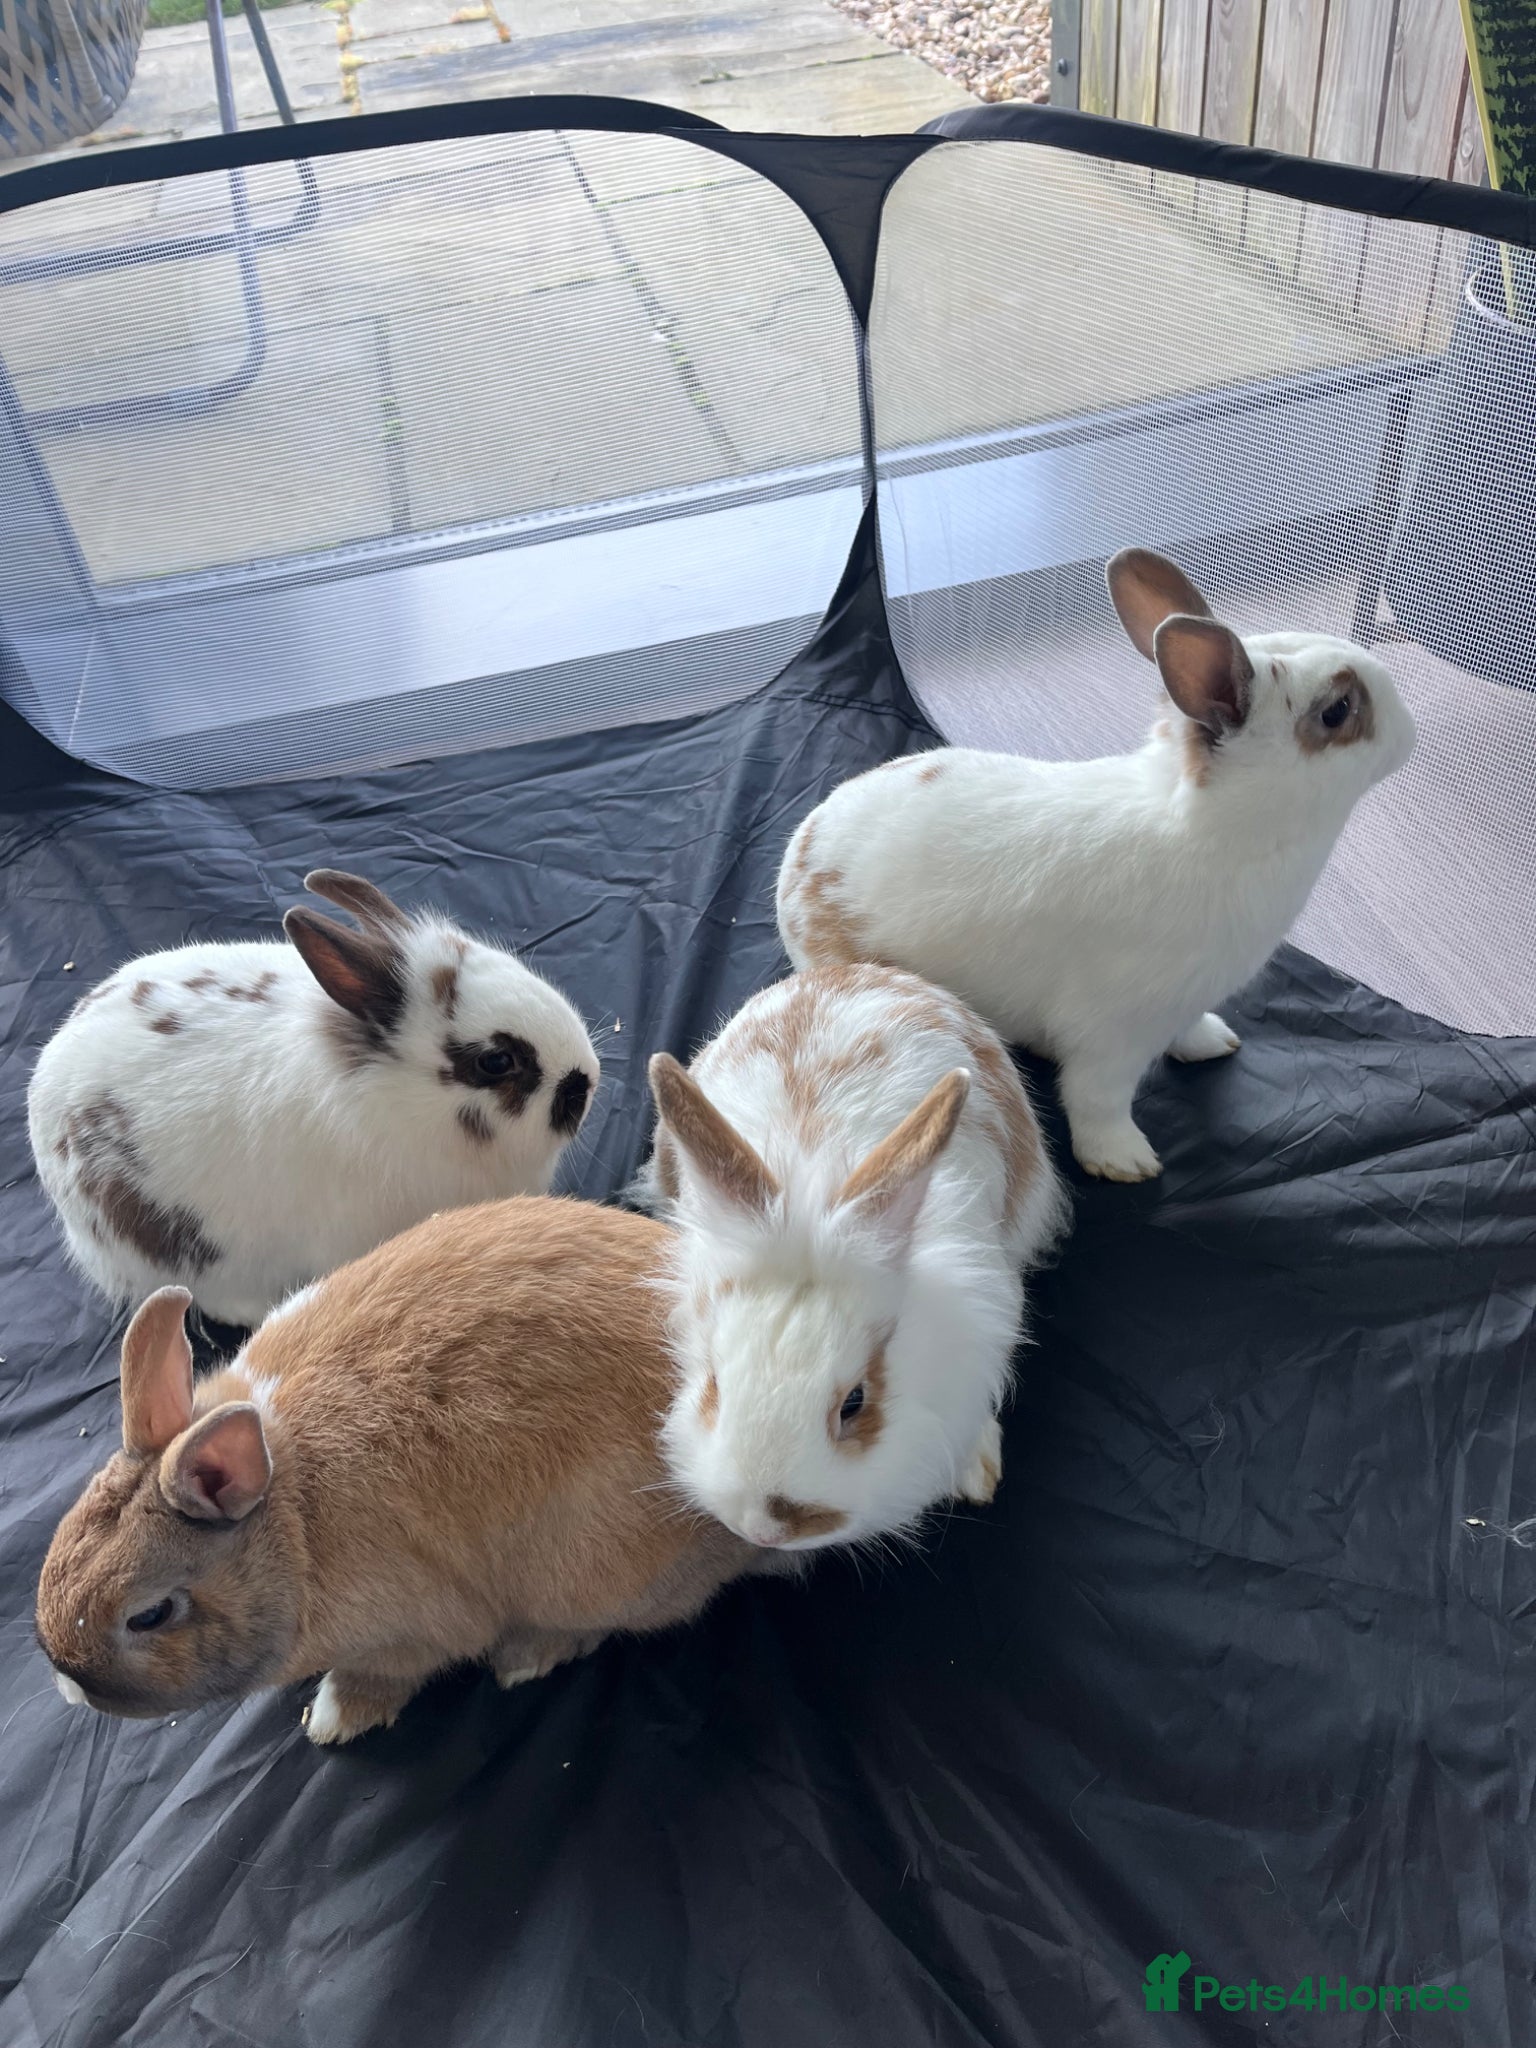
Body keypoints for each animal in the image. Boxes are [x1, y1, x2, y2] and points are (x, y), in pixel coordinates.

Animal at [37, 1198, 772, 1746]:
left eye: (149, 1615)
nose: (69, 1687)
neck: (291, 1521)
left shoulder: (408, 1633)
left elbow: (383, 1673)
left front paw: (333, 1720)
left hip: (594, 1570)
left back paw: (525, 1658)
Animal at [776, 549, 1417, 1183]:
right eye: (1337, 711)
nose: (1410, 732)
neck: (1219, 830)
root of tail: (801, 849)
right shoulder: (1113, 1033)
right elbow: (1097, 1098)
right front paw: (1124, 1162)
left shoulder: (1185, 1001)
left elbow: (1189, 1030)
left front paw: (1214, 1043)